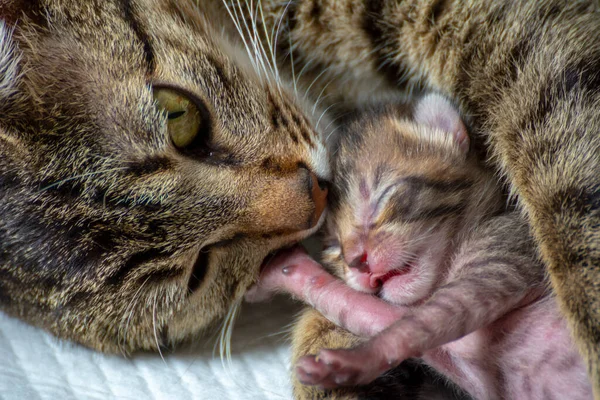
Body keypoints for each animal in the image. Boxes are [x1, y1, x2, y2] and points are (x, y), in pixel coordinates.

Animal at [247, 94, 592, 400]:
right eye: (333, 247)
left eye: (383, 197)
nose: (357, 261)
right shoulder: (462, 362)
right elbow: (356, 306)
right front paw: (283, 268)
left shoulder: (509, 250)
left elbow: (414, 324)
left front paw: (353, 360)